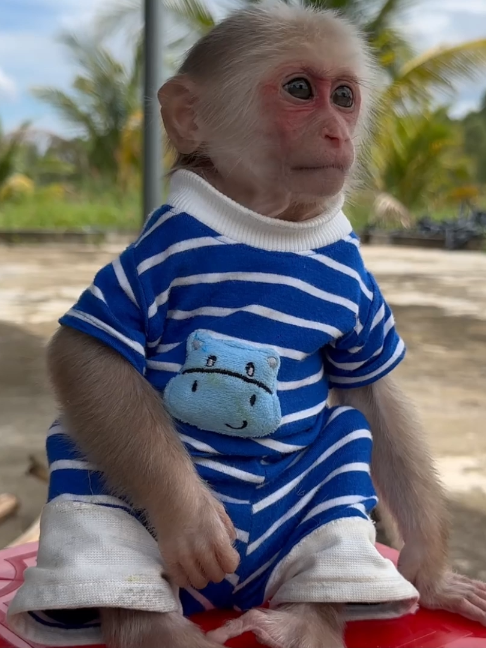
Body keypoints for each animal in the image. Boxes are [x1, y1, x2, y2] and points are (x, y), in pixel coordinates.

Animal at [8, 4, 486, 648]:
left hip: (304, 528)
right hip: (118, 503)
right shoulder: (157, 248)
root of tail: (232, 596)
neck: (267, 226)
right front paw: (193, 522)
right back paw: (155, 626)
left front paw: (431, 572)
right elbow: (87, 356)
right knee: (87, 470)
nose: (337, 133)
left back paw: (307, 618)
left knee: (346, 449)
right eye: (300, 90)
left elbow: (374, 392)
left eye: (344, 97)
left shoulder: (360, 285)